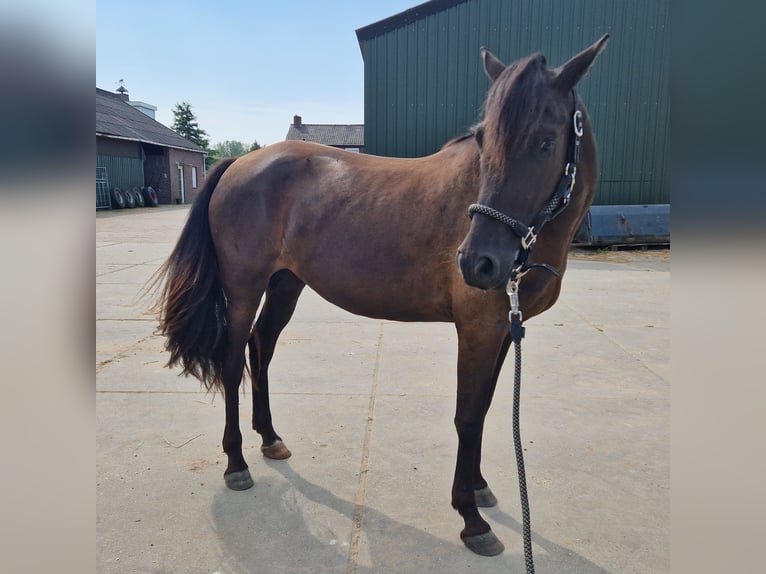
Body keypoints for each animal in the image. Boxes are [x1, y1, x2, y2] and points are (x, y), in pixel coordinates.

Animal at [154, 36, 612, 560]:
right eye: (482, 139)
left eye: (546, 140)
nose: (478, 262)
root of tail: (240, 163)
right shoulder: (479, 329)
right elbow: (468, 415)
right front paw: (471, 518)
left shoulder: (502, 330)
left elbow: (485, 406)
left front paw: (478, 488)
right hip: (245, 287)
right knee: (233, 361)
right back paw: (236, 463)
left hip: (286, 283)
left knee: (260, 348)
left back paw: (270, 438)